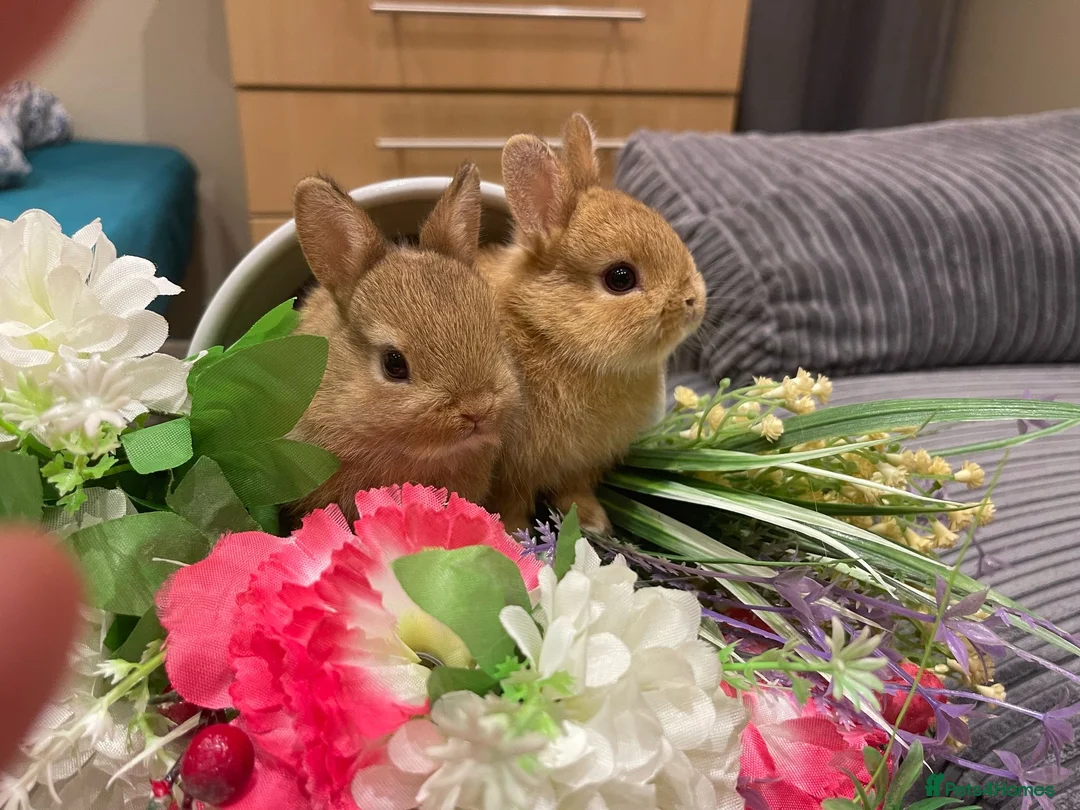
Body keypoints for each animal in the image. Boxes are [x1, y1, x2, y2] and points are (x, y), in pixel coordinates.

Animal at [479, 113, 706, 534]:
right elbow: (512, 502)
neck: (547, 333)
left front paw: (594, 522)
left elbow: (574, 493)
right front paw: (515, 533)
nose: (693, 301)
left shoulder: (577, 467)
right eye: (620, 278)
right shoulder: (511, 470)